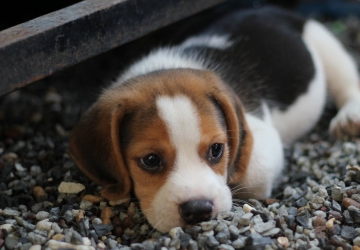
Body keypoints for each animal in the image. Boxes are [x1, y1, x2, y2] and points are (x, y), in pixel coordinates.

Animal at [69, 6, 360, 232]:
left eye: (217, 149)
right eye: (150, 160)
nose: (198, 210)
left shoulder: (261, 136)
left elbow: (251, 171)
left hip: (323, 42)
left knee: (347, 81)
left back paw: (350, 118)